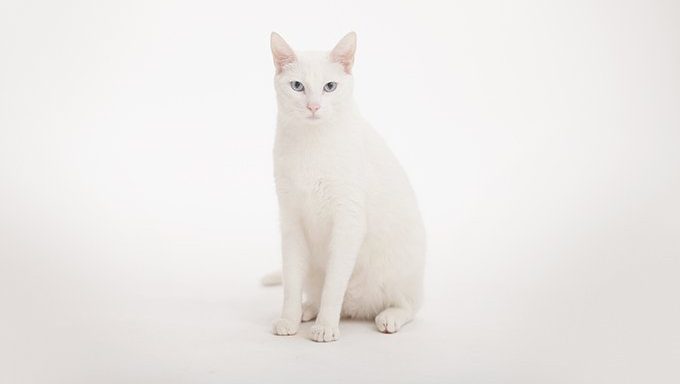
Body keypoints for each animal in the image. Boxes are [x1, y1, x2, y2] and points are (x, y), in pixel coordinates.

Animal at [270, 30, 424, 342]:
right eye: (297, 86)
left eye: (330, 87)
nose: (313, 106)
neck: (313, 144)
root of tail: (357, 308)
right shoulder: (291, 221)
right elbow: (291, 281)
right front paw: (288, 319)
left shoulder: (348, 219)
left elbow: (334, 285)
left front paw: (326, 326)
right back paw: (307, 309)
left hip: (403, 267)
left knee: (409, 305)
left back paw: (389, 316)